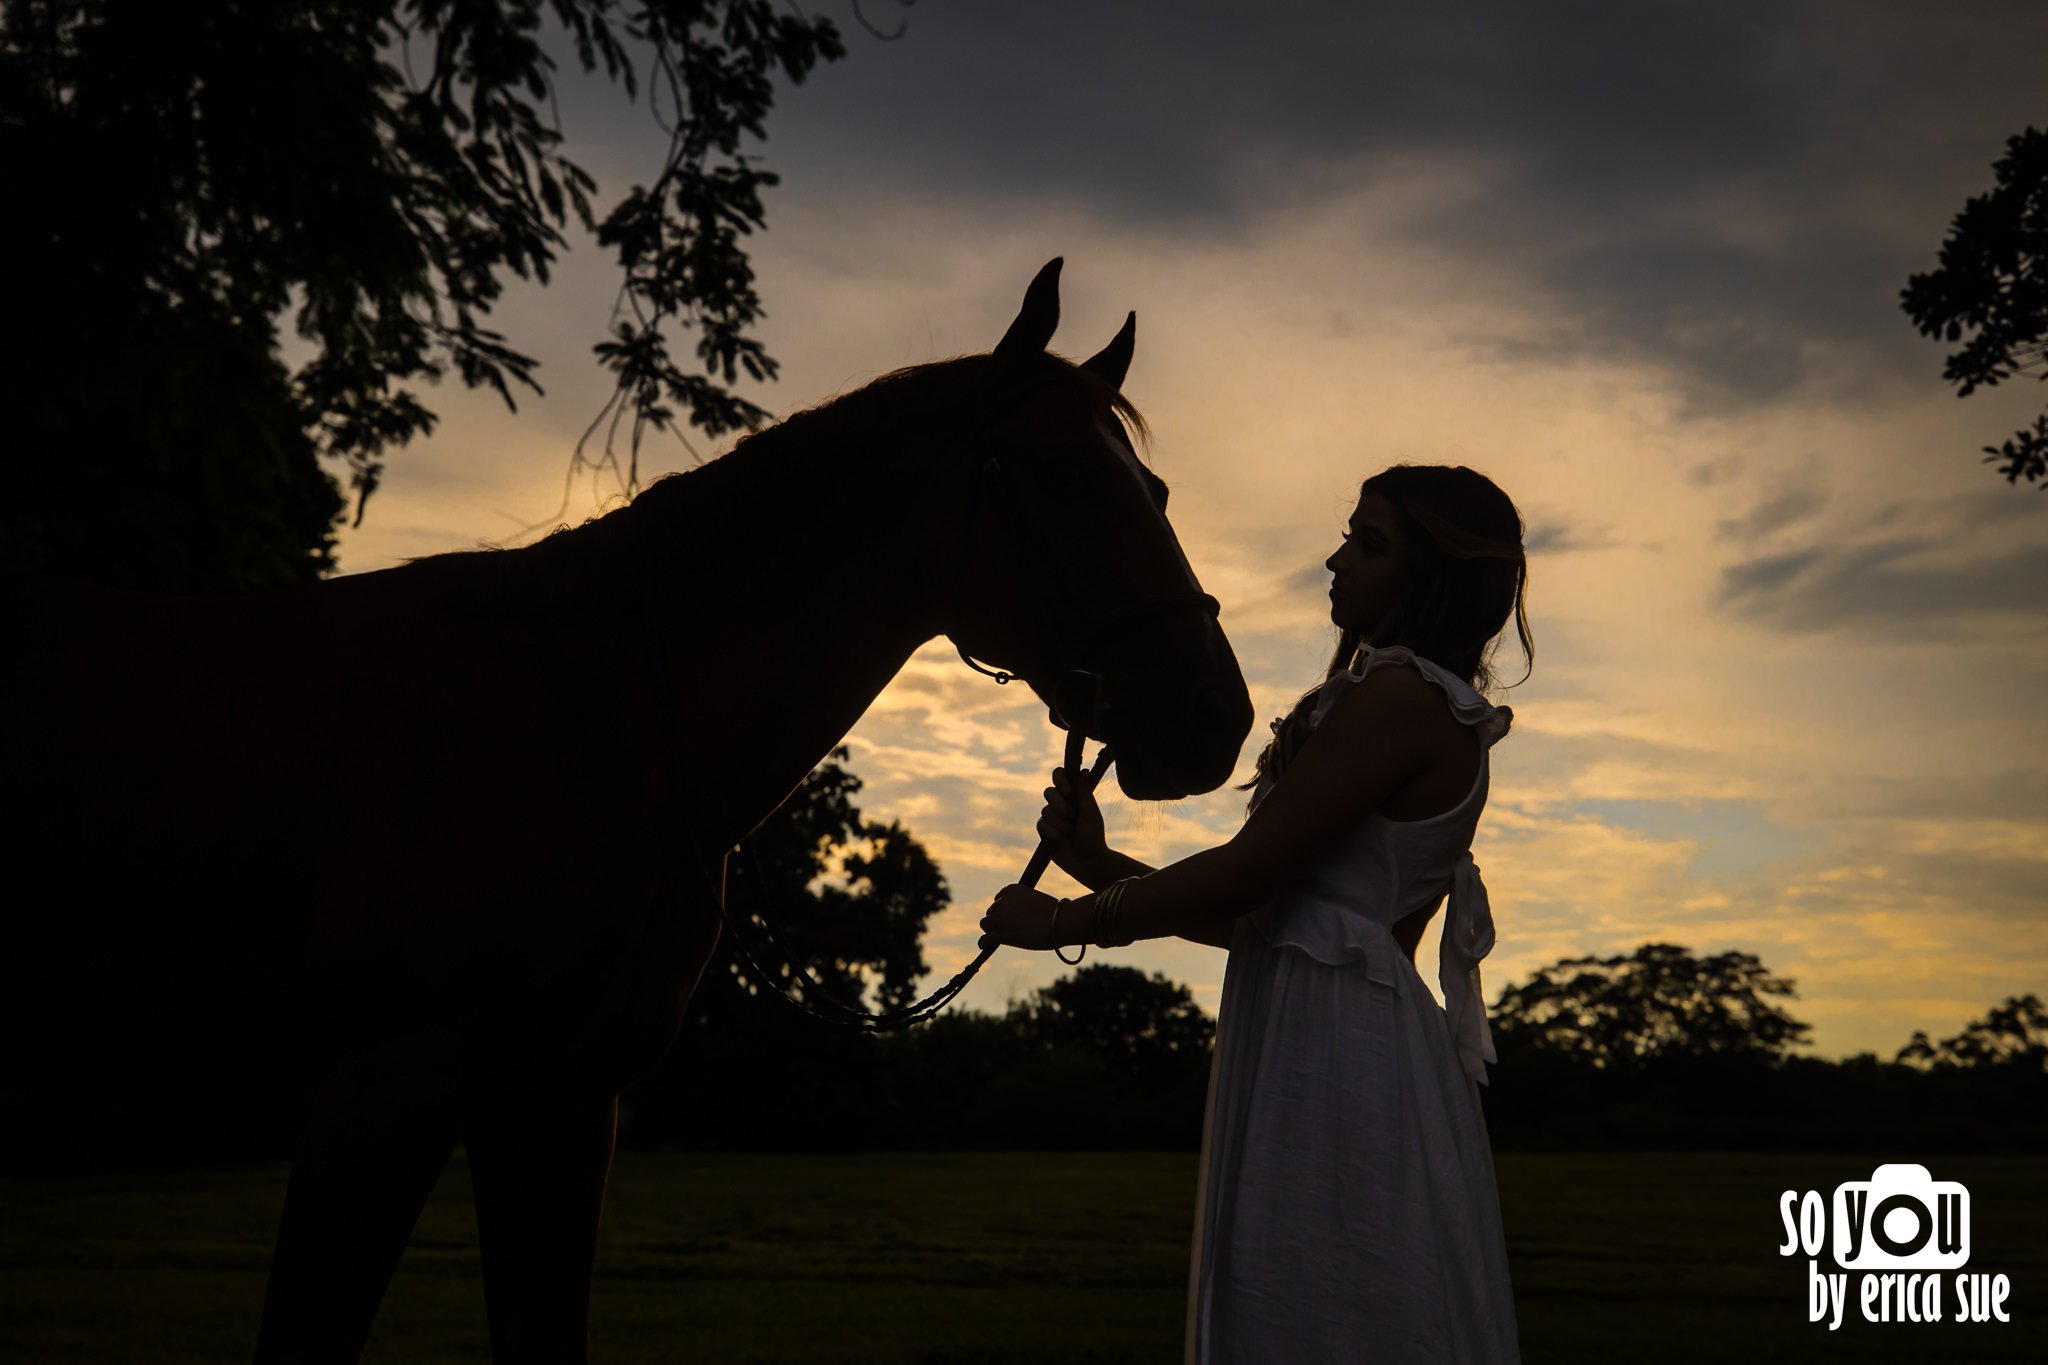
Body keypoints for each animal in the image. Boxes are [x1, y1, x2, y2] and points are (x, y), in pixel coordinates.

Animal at [4, 261, 1245, 1358]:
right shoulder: (381, 1091)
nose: (1215, 716)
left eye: (1158, 491)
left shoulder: (556, 1102)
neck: (601, 727)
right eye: (1064, 476)